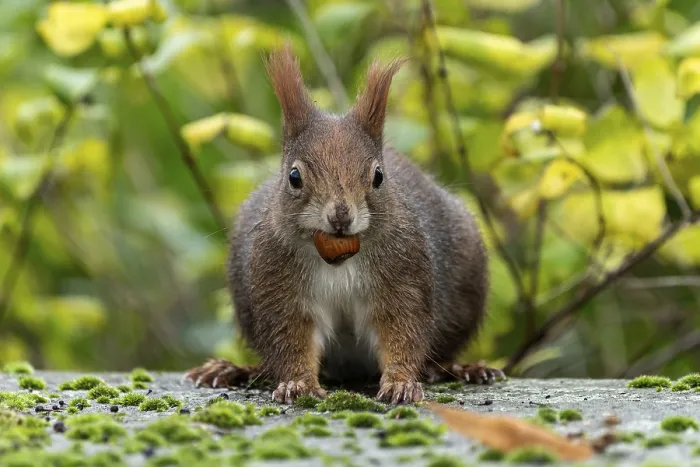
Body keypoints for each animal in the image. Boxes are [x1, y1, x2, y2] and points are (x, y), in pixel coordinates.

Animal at [184, 44, 504, 405]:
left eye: (378, 176)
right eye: (294, 177)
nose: (341, 216)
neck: (336, 255)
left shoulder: (404, 275)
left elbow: (403, 332)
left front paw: (401, 383)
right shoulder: (277, 282)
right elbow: (290, 339)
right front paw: (298, 383)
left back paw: (460, 369)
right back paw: (236, 370)